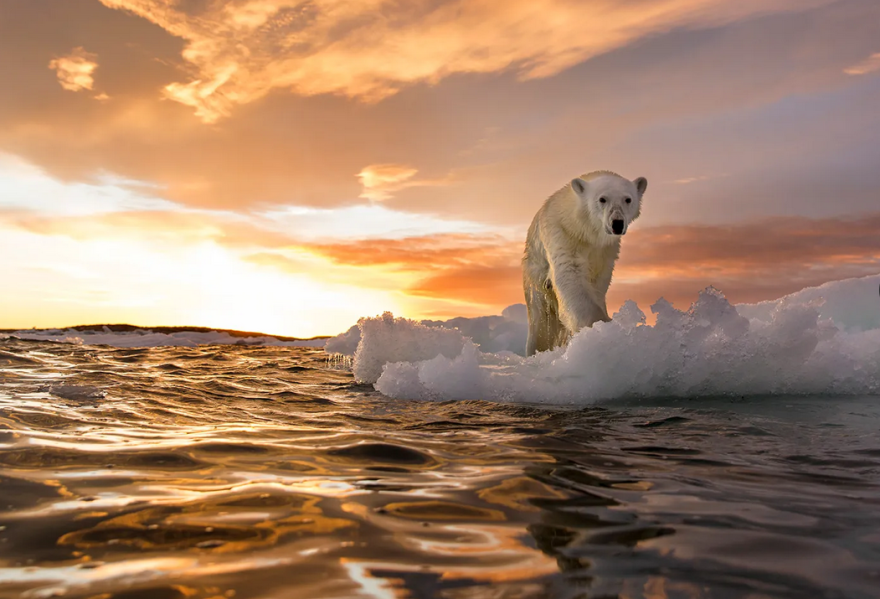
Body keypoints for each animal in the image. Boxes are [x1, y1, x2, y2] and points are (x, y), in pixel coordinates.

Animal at [522, 170, 647, 356]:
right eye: (602, 199)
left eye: (628, 199)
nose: (617, 223)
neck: (585, 231)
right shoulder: (563, 235)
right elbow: (570, 275)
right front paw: (599, 327)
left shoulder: (605, 251)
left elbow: (598, 282)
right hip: (535, 277)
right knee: (541, 322)